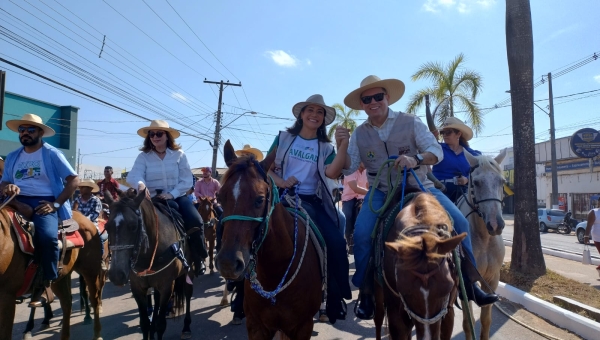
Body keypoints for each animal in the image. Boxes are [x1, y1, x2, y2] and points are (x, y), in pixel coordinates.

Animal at [0, 207, 104, 340]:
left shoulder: (7, 296)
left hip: (90, 271)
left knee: (94, 299)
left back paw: (96, 334)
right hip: (60, 277)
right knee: (66, 303)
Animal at [104, 190, 193, 338]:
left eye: (133, 226)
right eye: (106, 227)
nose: (117, 275)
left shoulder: (166, 286)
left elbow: (161, 325)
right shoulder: (137, 288)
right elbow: (144, 323)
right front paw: (150, 327)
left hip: (188, 272)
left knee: (188, 293)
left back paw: (186, 327)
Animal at [216, 139, 324, 338]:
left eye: (260, 199)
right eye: (219, 197)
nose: (228, 263)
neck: (276, 270)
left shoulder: (303, 327)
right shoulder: (256, 326)